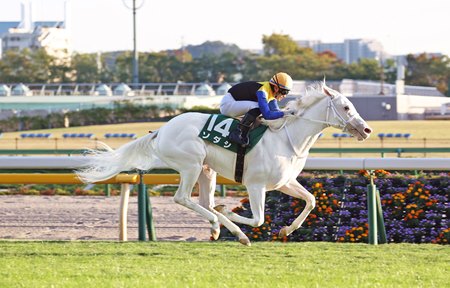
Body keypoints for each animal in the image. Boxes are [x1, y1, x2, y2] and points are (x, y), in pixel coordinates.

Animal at [76, 82, 372, 246]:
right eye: (346, 107)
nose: (367, 129)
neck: (288, 138)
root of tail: (161, 130)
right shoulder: (255, 185)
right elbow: (258, 218)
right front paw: (229, 212)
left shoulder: (284, 182)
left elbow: (310, 200)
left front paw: (287, 228)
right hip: (191, 165)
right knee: (183, 199)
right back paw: (222, 224)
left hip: (207, 171)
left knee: (204, 202)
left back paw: (223, 227)